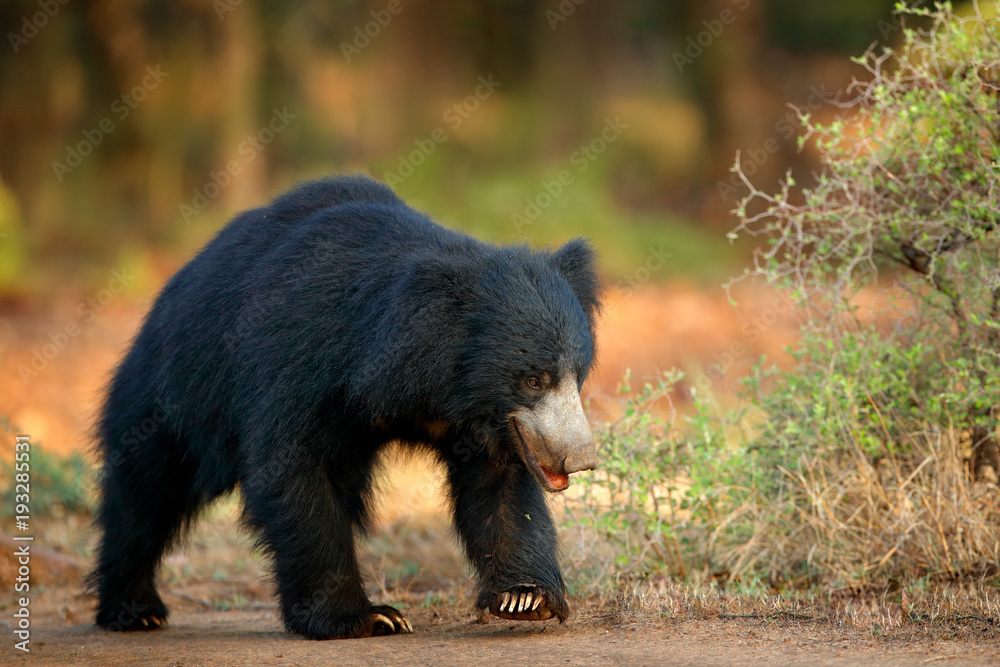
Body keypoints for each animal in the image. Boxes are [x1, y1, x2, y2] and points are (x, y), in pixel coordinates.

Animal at [90, 175, 596, 640]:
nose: (582, 458)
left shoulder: (485, 424)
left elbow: (501, 489)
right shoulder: (302, 363)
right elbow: (295, 472)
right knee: (147, 492)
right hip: (175, 390)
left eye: (576, 374)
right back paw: (134, 610)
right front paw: (365, 618)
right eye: (534, 379)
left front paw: (525, 598)